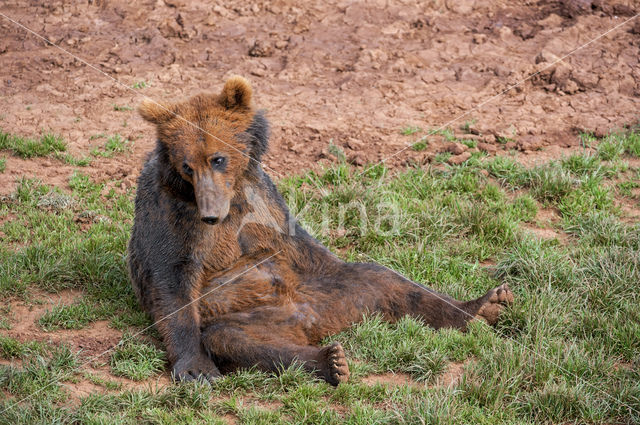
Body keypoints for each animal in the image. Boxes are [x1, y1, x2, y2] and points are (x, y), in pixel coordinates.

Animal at [127, 76, 512, 384]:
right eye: (186, 166)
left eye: (218, 158)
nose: (210, 215)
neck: (230, 197)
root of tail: (308, 321)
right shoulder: (170, 213)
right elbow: (171, 278)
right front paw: (197, 369)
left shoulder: (262, 198)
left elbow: (297, 242)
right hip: (240, 314)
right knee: (233, 338)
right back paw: (331, 360)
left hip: (330, 291)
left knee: (386, 281)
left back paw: (486, 304)